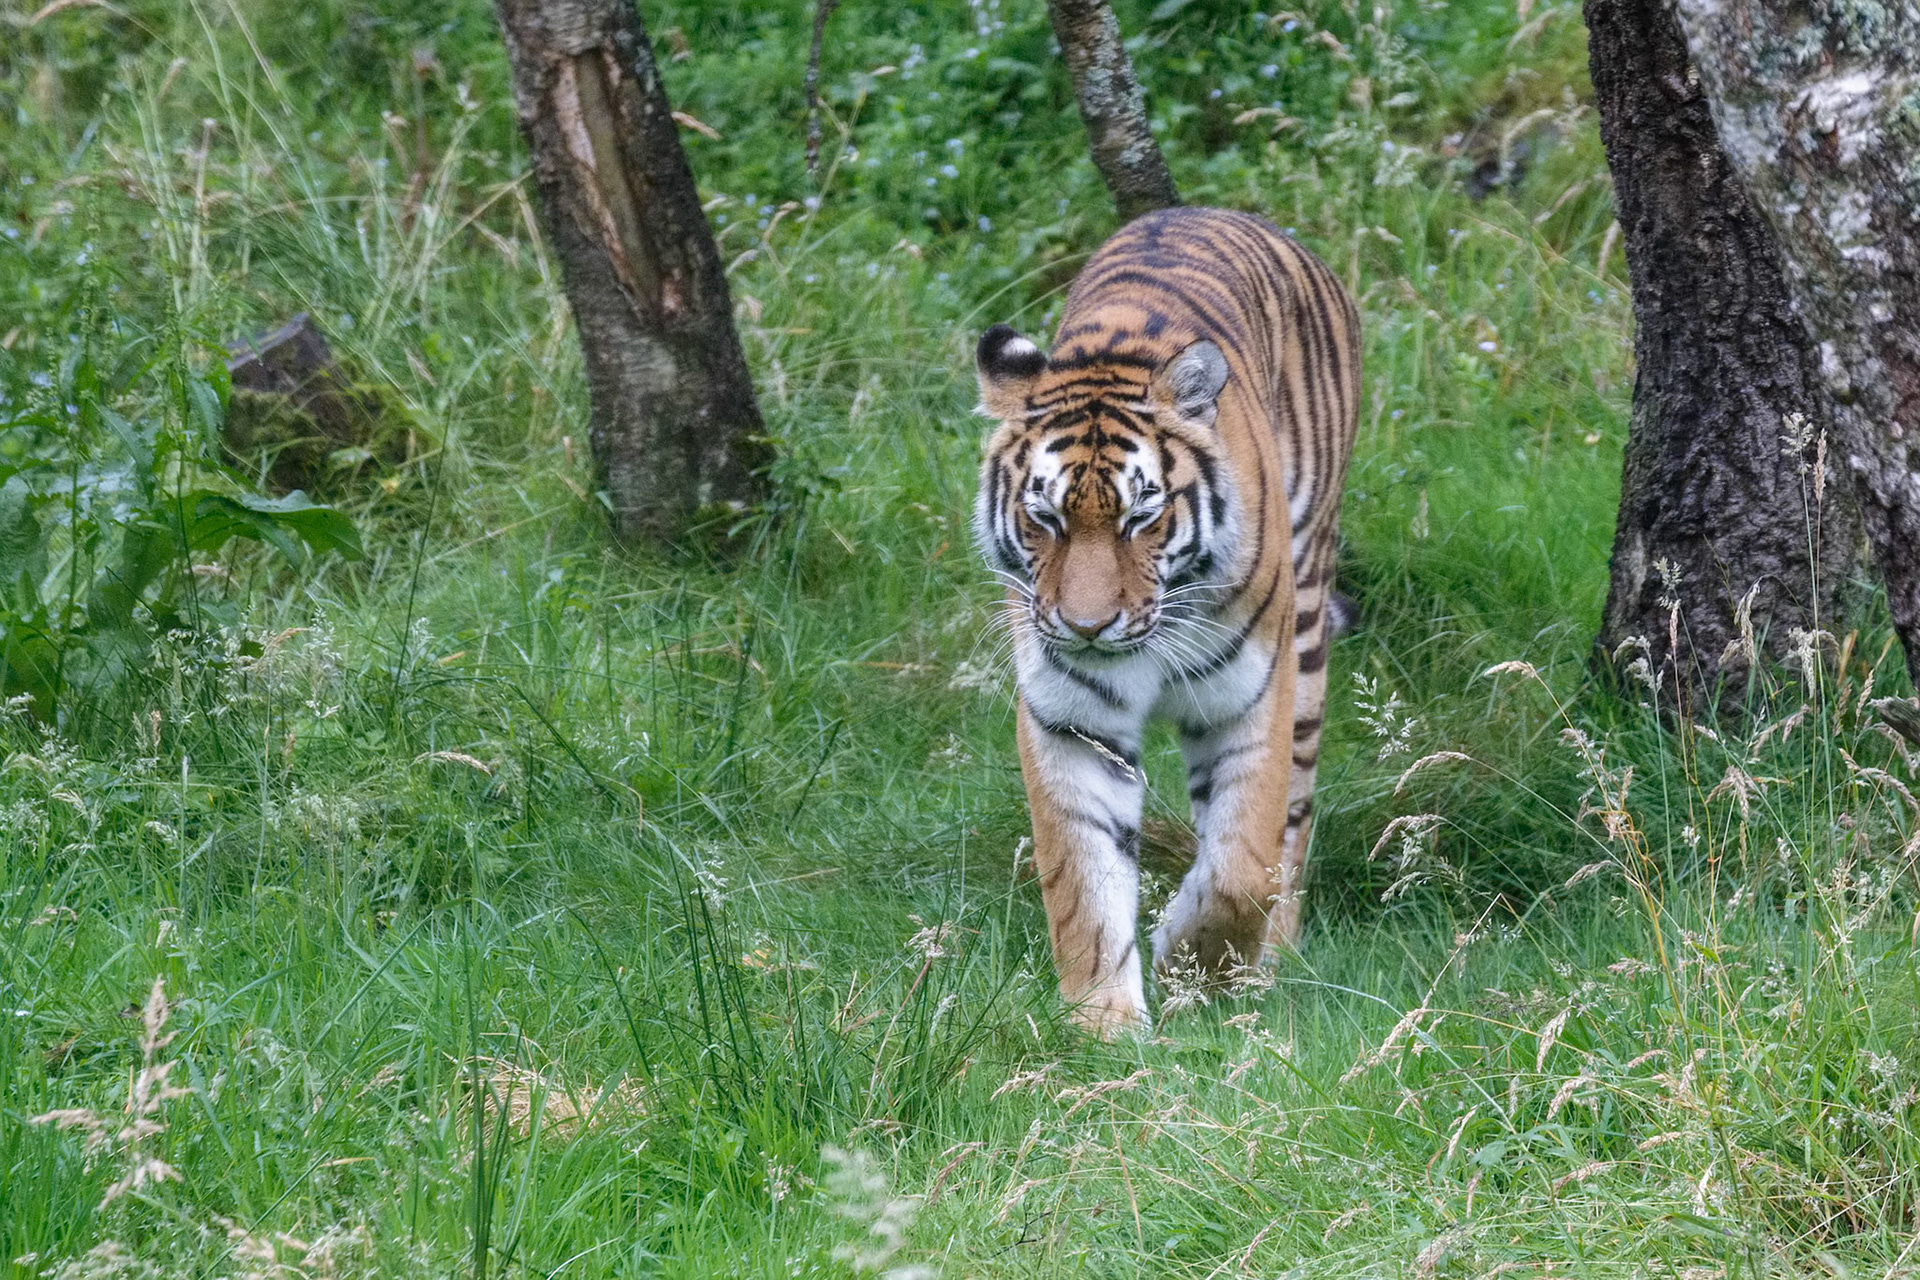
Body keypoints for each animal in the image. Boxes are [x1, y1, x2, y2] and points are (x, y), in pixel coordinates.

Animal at [973, 206, 1360, 1034]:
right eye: (1044, 518)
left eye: (1140, 518)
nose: (1087, 627)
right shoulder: (1070, 719)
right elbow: (1082, 880)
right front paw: (1104, 1025)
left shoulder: (1251, 696)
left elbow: (1243, 863)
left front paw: (1191, 964)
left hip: (1309, 628)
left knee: (1294, 821)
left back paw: (1275, 955)